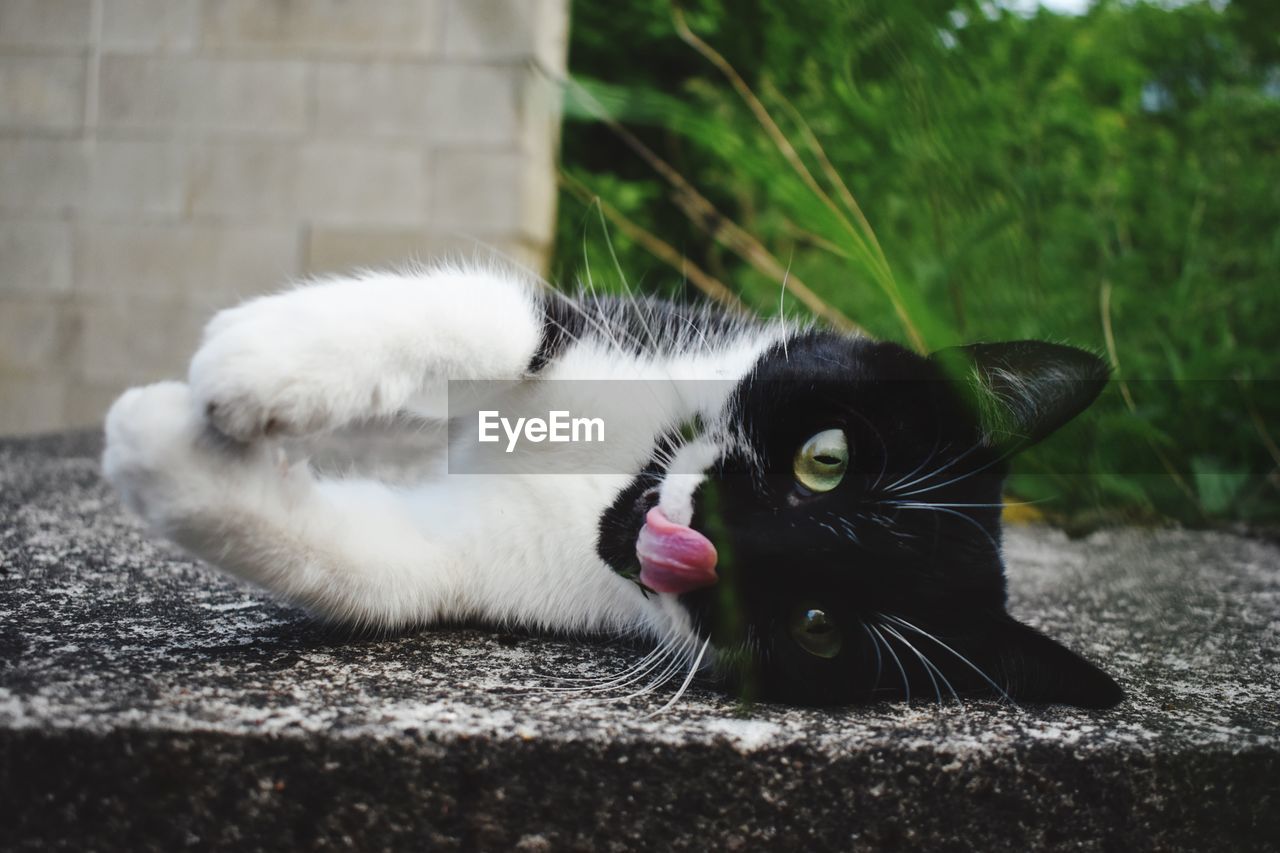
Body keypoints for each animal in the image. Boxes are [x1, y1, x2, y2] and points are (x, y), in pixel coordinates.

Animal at [104, 262, 1126, 706]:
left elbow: (380, 570)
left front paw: (164, 447)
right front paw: (264, 360)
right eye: (826, 459)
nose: (710, 539)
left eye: (817, 628)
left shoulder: (468, 553)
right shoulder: (621, 324)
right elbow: (493, 314)